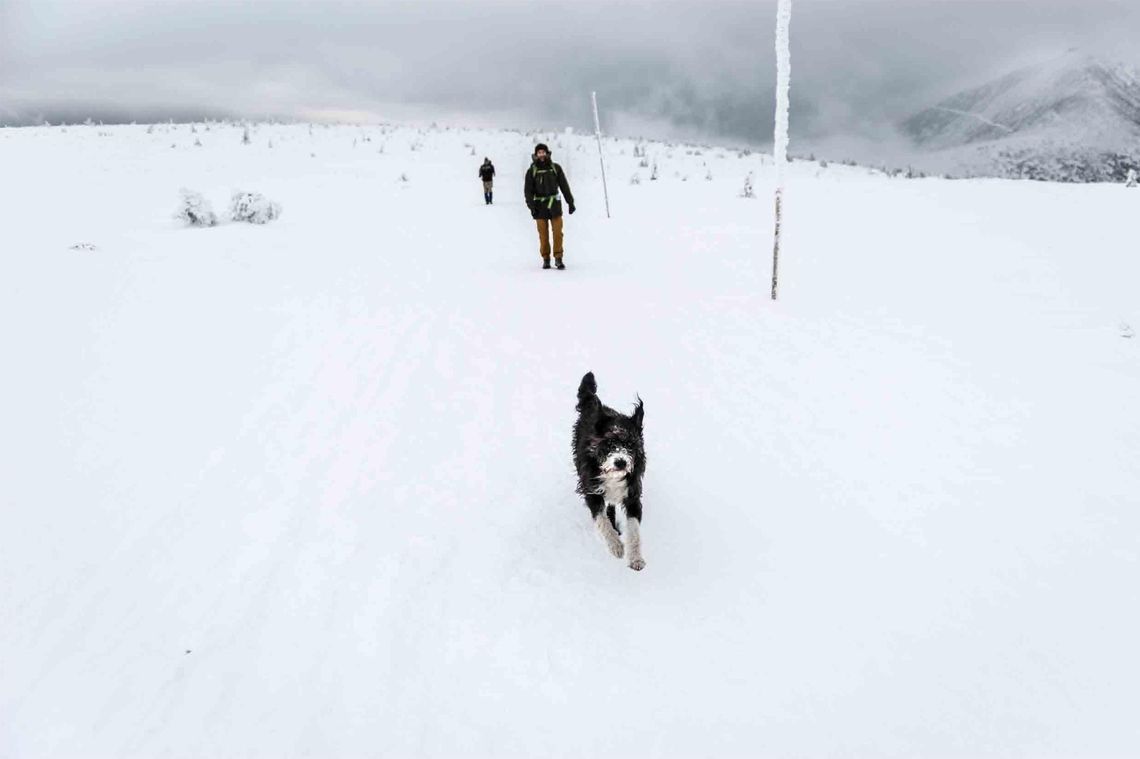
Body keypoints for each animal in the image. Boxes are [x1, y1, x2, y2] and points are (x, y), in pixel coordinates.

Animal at [574, 369, 647, 569]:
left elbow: (634, 530)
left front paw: (636, 558)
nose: (620, 462)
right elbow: (602, 522)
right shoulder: (592, 491)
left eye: (630, 445)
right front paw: (616, 546)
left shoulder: (632, 495)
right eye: (609, 443)